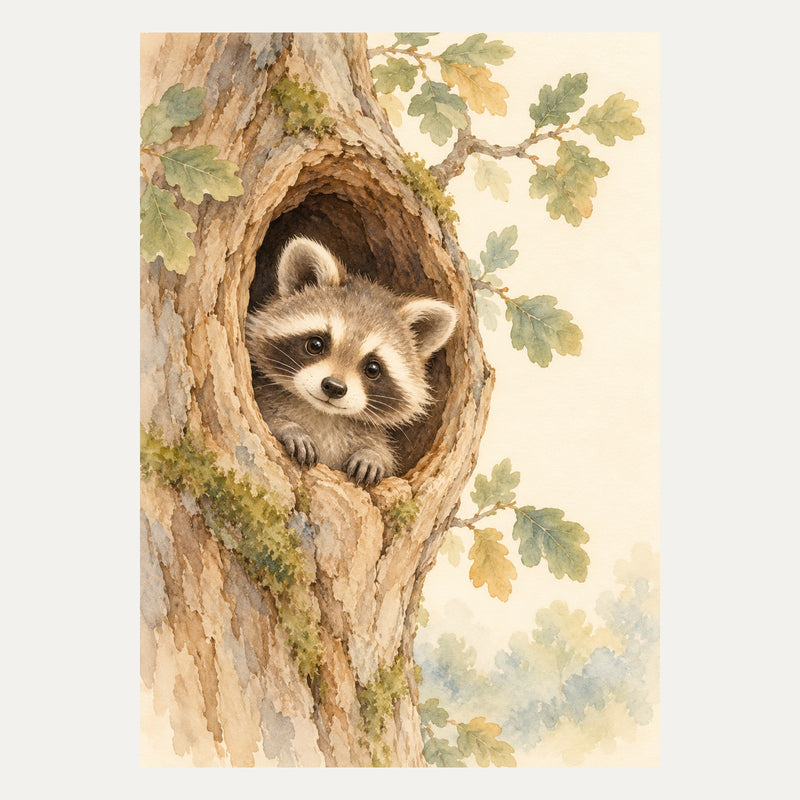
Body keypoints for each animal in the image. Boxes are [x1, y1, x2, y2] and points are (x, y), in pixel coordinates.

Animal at [246, 236, 457, 486]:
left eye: (373, 368)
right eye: (315, 344)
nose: (334, 387)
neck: (323, 413)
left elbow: (384, 456)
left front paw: (372, 455)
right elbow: (267, 417)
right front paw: (289, 428)